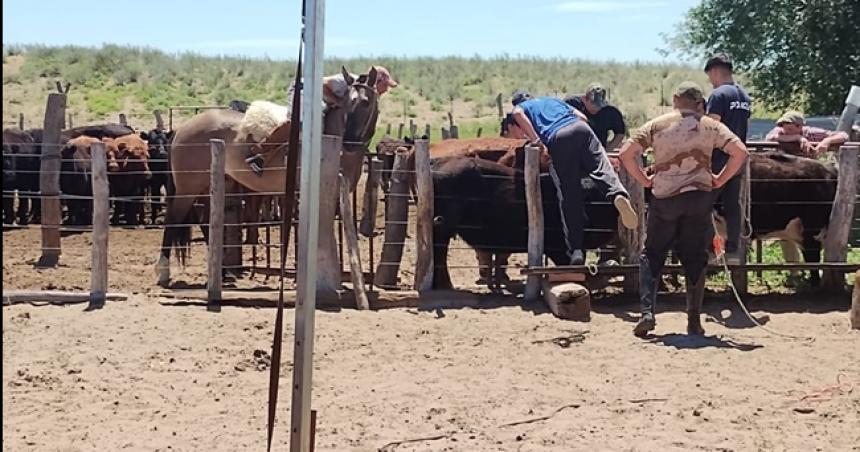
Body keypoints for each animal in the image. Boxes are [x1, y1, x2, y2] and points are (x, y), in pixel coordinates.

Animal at [158, 66, 380, 286]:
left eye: (366, 103)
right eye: (347, 103)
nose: (349, 143)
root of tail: (180, 129)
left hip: (205, 188)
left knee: (205, 223)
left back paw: (221, 272)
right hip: (187, 189)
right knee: (173, 220)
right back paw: (163, 273)